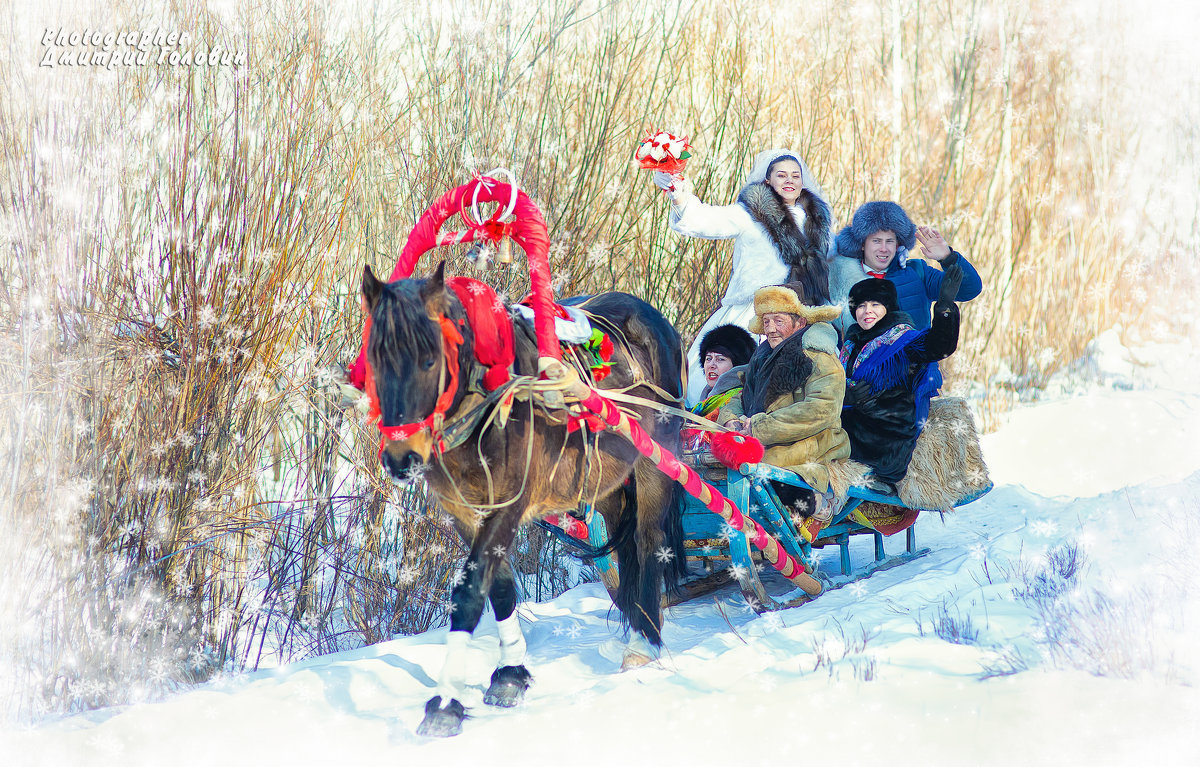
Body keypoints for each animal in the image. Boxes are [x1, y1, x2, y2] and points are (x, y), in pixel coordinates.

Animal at [360, 262, 686, 739]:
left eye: (429, 359)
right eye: (374, 360)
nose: (401, 457)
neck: (487, 403)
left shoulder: (510, 503)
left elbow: (470, 592)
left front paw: (444, 703)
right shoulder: (463, 512)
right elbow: (498, 586)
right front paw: (510, 673)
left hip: (655, 464)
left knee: (648, 543)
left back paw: (645, 641)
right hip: (606, 482)